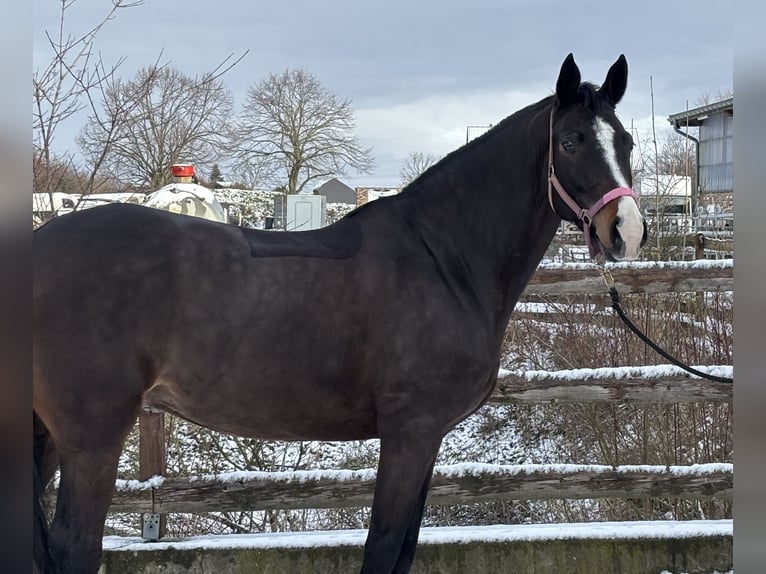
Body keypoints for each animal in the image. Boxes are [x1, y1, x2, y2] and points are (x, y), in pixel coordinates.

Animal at [33, 53, 646, 574]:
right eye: (570, 142)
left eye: (627, 142)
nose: (626, 231)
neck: (444, 257)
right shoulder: (409, 432)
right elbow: (383, 548)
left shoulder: (428, 438)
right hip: (92, 436)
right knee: (73, 547)